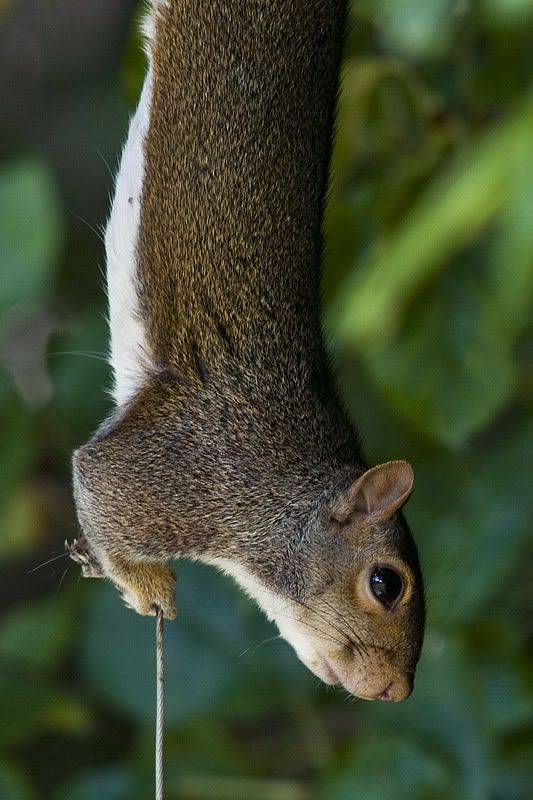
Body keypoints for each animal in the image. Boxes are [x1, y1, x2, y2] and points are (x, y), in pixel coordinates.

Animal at [66, 0, 424, 700]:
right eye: (385, 583)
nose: (396, 692)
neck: (288, 493)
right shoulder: (197, 474)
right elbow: (96, 482)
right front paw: (149, 588)